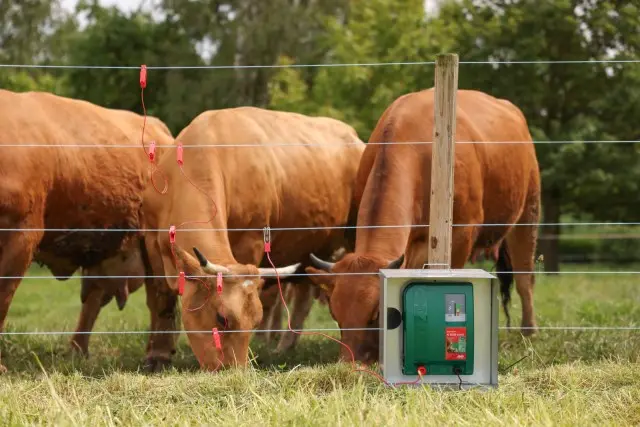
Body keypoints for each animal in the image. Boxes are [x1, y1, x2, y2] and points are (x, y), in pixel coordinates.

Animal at [0, 89, 174, 372]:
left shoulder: (22, 233)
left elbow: (2, 296)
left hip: (155, 242)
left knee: (160, 294)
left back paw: (157, 356)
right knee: (94, 297)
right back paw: (75, 351)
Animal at [139, 106, 365, 371]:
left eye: (255, 320)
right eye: (222, 318)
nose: (236, 372)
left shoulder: (251, 239)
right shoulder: (152, 240)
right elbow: (162, 298)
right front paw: (158, 356)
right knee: (305, 295)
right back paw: (285, 346)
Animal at [306, 88, 541, 364]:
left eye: (375, 315)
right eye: (336, 314)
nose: (349, 364)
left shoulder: (461, 234)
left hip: (529, 210)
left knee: (525, 275)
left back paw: (529, 331)